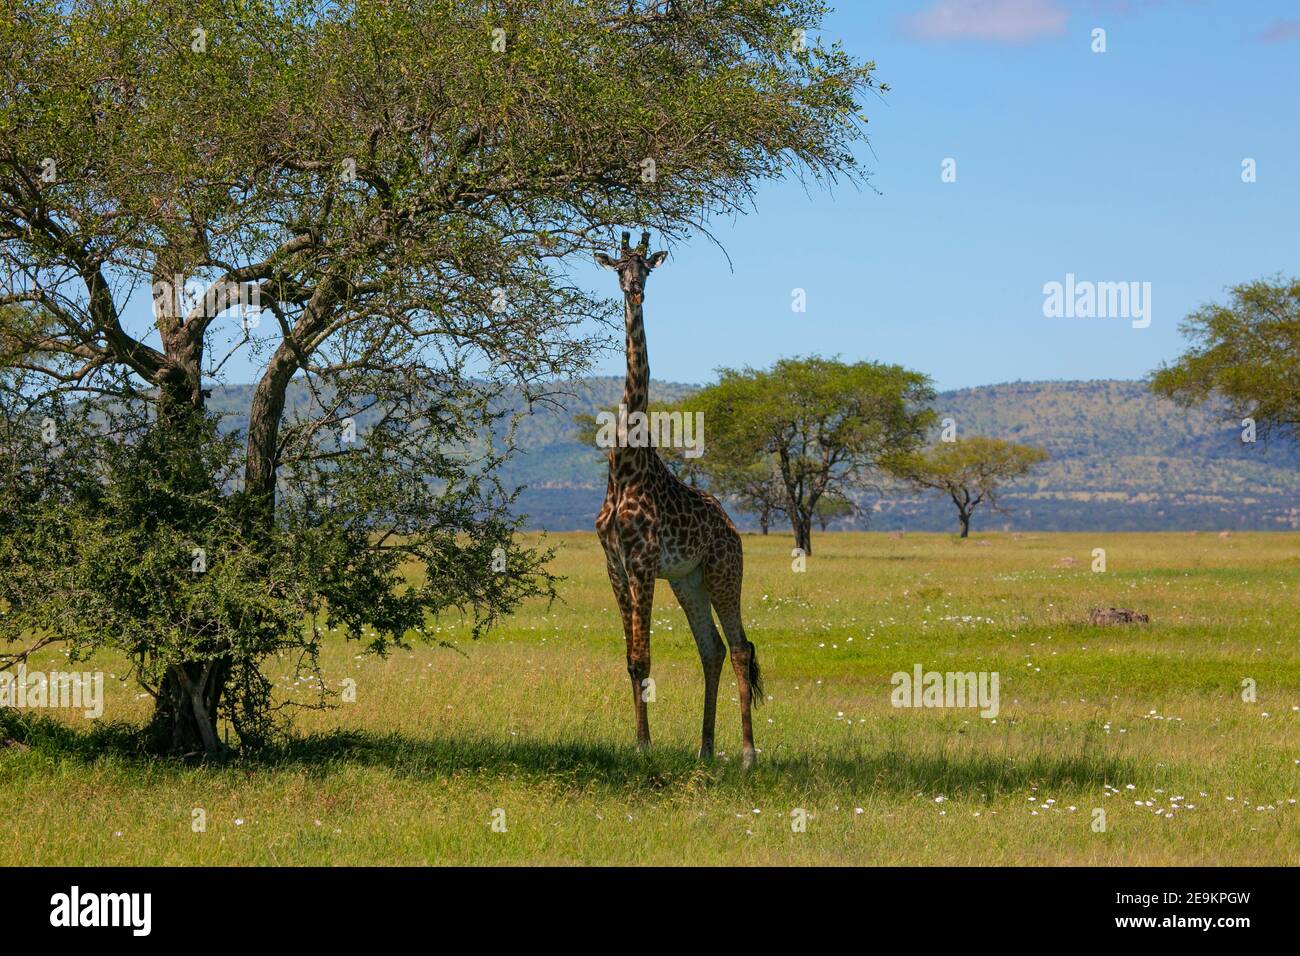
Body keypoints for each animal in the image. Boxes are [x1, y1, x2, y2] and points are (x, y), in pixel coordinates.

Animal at [592, 231, 759, 770]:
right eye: (618, 268)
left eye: (646, 267)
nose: (635, 291)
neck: (625, 465)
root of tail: (732, 528)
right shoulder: (615, 565)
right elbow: (630, 660)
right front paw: (638, 740)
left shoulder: (643, 563)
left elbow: (644, 657)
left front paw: (645, 746)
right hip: (689, 580)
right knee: (713, 649)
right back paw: (704, 748)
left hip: (724, 572)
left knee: (741, 647)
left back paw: (748, 753)